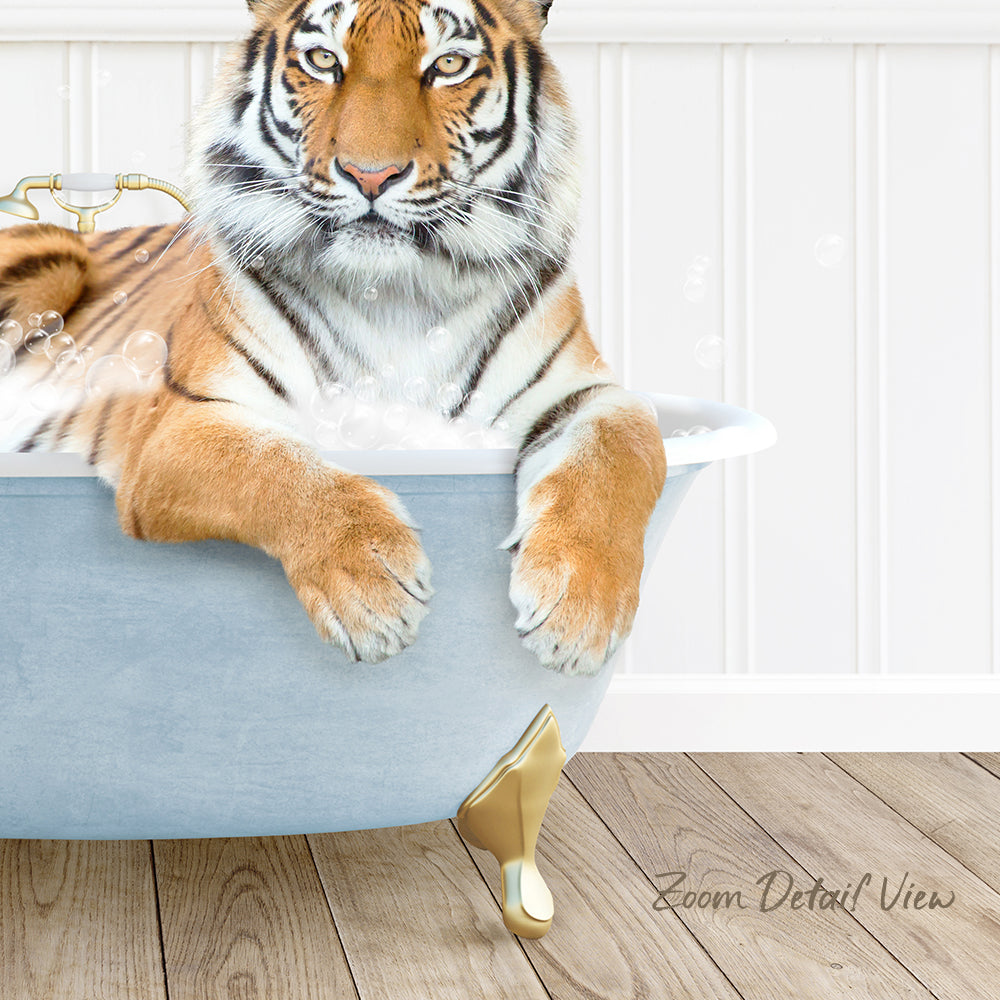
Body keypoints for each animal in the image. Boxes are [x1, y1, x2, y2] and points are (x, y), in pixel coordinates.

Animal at [0, 0, 666, 676]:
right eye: (324, 60)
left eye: (448, 64)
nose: (371, 176)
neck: (395, 296)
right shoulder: (181, 423)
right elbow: (274, 467)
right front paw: (372, 592)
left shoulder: (586, 393)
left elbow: (623, 451)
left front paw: (579, 610)